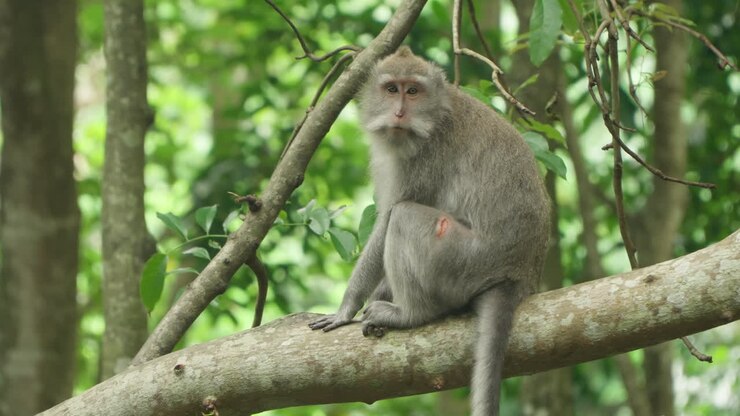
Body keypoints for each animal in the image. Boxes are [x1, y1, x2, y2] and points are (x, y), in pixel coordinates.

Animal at [309, 46, 550, 416]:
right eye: (391, 89)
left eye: (413, 91)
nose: (399, 113)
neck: (435, 115)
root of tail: (519, 274)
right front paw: (375, 294)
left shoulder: (424, 158)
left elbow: (388, 220)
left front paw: (345, 308)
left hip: (462, 259)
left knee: (405, 217)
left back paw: (410, 314)